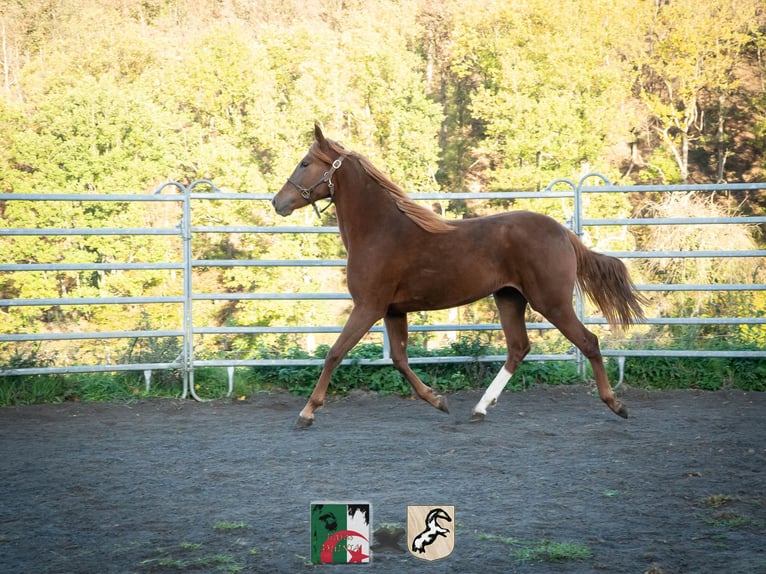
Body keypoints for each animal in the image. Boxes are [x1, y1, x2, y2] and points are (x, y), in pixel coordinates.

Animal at [272, 124, 646, 428]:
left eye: (305, 163)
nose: (278, 202)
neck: (380, 230)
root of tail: (565, 233)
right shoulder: (393, 311)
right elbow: (400, 360)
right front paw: (438, 400)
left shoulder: (368, 307)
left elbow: (335, 353)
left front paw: (307, 412)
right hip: (510, 298)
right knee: (518, 348)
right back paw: (480, 408)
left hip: (551, 302)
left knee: (589, 342)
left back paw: (617, 405)